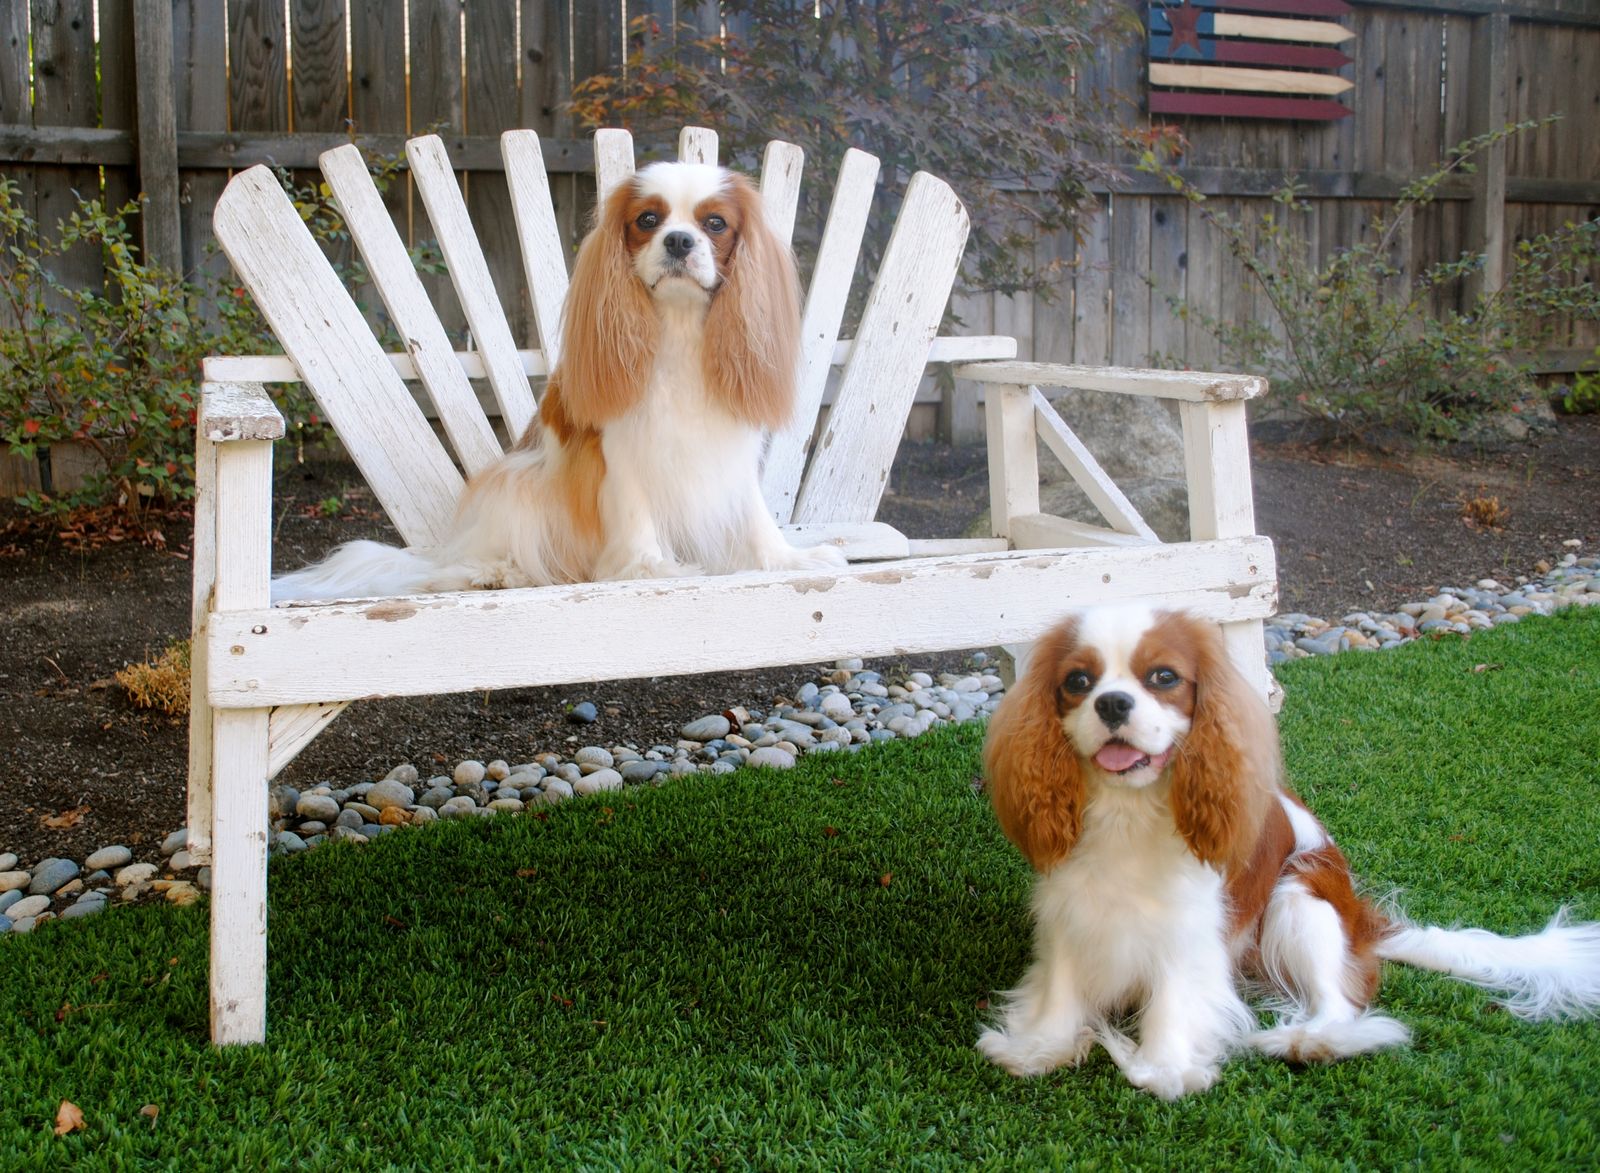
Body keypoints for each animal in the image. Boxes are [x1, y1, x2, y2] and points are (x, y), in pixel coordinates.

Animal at [271, 161, 847, 602]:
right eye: (648, 219)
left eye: (715, 224)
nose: (680, 240)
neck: (679, 328)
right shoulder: (620, 453)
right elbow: (636, 514)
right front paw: (650, 568)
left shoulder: (729, 452)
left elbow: (755, 517)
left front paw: (786, 560)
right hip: (520, 485)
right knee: (468, 563)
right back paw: (495, 573)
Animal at [977, 606, 1600, 1099]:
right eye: (1078, 681)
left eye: (1164, 677)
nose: (1110, 703)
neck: (1127, 811)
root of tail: (1366, 924)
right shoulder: (1069, 911)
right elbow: (1062, 984)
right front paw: (1041, 1046)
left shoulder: (1188, 926)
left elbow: (1175, 992)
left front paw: (1165, 1068)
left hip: (1300, 899)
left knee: (1340, 1002)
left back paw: (1309, 1040)